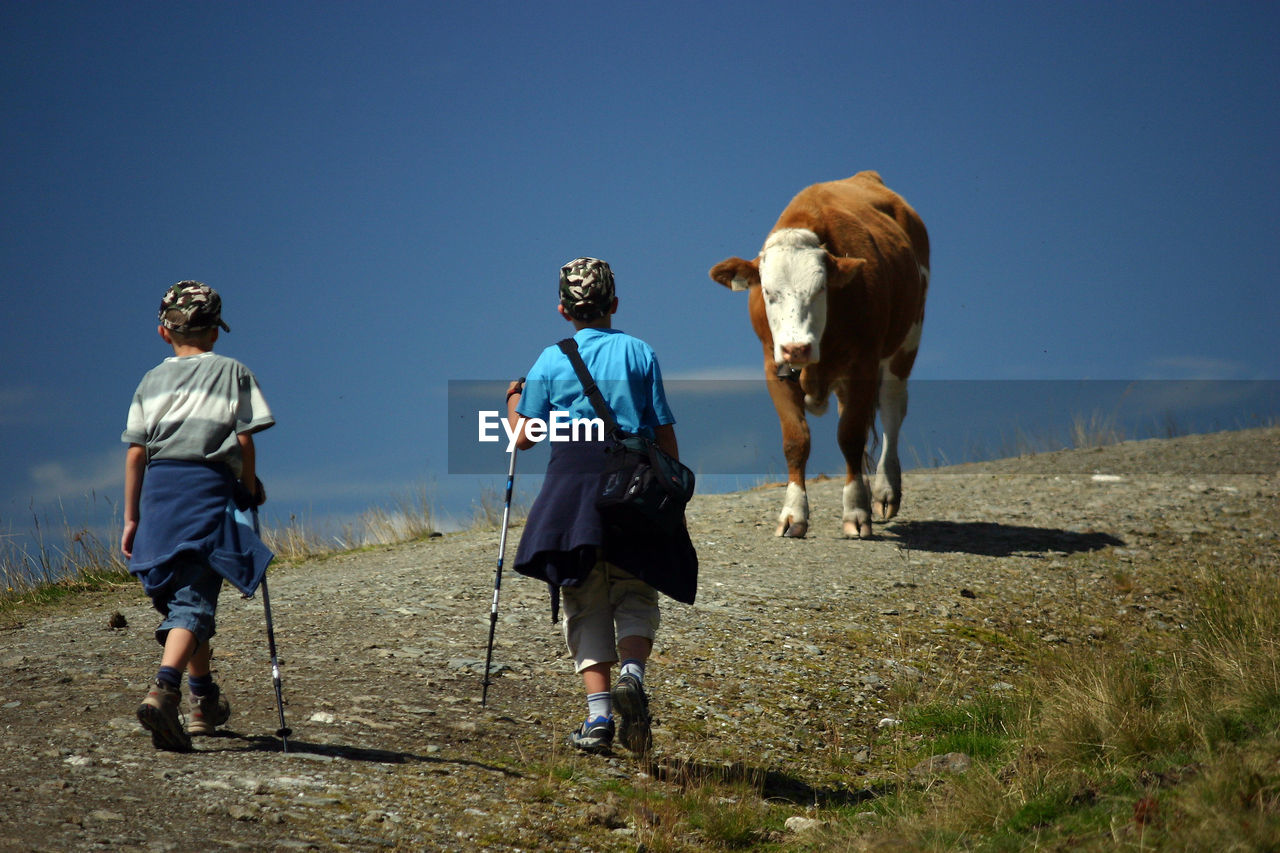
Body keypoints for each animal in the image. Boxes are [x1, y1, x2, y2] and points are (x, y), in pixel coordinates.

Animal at [711, 169, 931, 535]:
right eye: (768, 292)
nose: (796, 347)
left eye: (820, 289)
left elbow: (851, 436)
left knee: (891, 408)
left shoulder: (863, 363)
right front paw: (793, 514)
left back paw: (885, 491)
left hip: (907, 339)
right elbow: (796, 440)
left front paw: (855, 511)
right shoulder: (773, 366)